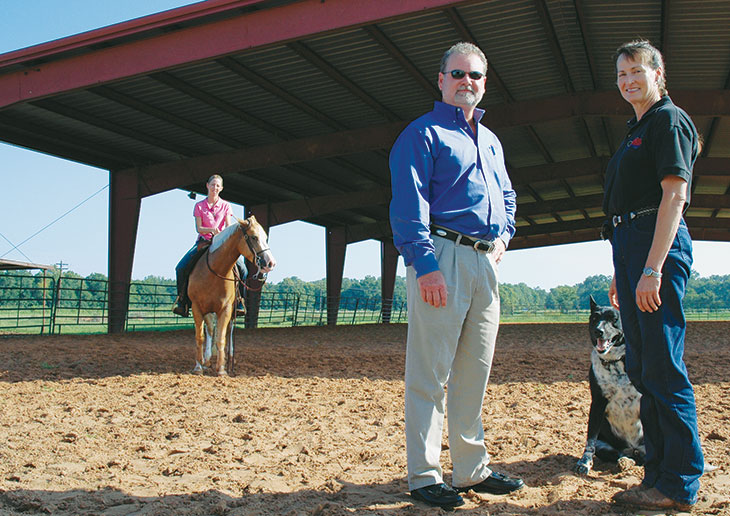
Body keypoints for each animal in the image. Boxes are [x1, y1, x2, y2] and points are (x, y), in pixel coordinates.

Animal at [188, 216, 276, 376]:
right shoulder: (197, 307)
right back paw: (207, 360)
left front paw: (222, 369)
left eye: (265, 237)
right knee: (210, 331)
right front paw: (198, 366)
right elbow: (200, 337)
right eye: (254, 237)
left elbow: (221, 338)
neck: (214, 271)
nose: (270, 263)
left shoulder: (226, 309)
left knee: (228, 332)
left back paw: (229, 360)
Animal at [572, 294, 640, 476]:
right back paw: (625, 461)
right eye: (595, 318)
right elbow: (590, 439)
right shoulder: (597, 401)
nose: (598, 331)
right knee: (619, 454)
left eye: (614, 319)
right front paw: (584, 463)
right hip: (605, 446)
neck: (614, 362)